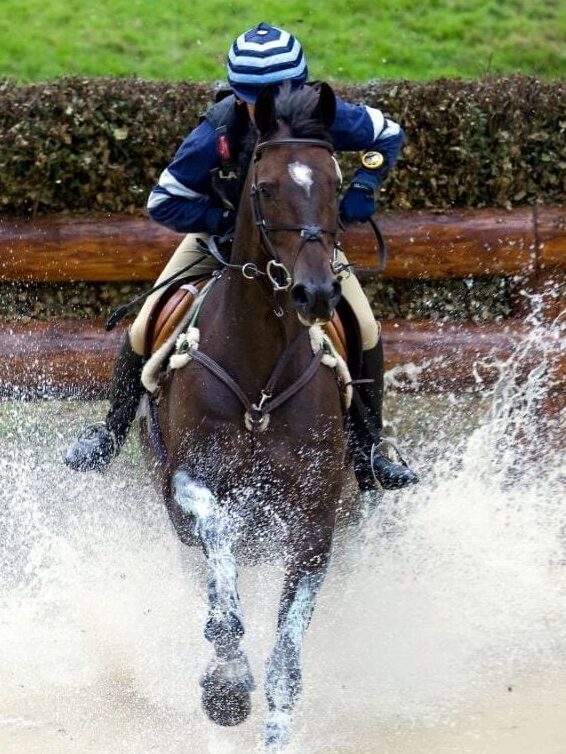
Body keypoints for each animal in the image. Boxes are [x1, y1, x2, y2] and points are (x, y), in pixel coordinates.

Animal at [140, 81, 350, 748]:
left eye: (337, 185)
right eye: (265, 187)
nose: (315, 294)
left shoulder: (315, 523)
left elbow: (287, 657)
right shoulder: (188, 484)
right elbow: (218, 538)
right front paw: (227, 680)